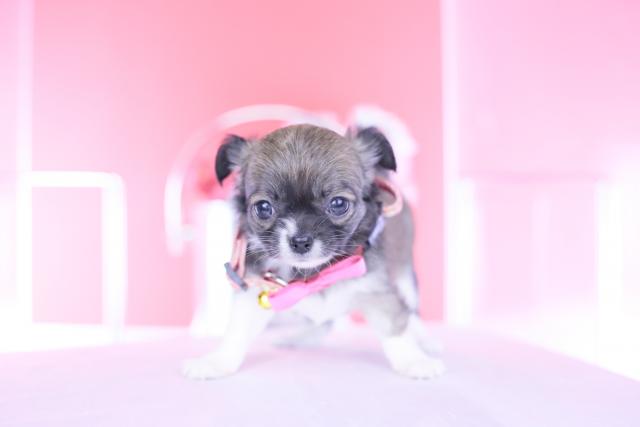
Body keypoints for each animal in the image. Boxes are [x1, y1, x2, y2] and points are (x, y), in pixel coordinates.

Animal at [182, 124, 444, 379]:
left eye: (338, 204)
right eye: (263, 207)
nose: (300, 241)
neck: (316, 274)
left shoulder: (377, 290)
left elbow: (395, 326)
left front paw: (414, 361)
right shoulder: (255, 291)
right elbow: (237, 332)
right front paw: (215, 362)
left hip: (405, 276)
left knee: (412, 312)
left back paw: (426, 341)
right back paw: (300, 338)